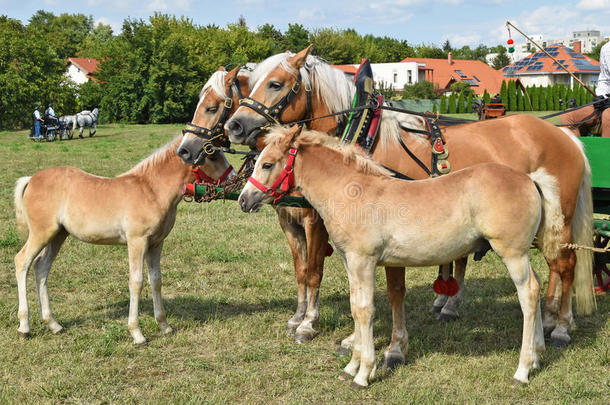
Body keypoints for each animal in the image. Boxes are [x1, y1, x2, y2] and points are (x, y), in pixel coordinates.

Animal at [14, 134, 233, 342]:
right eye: (213, 155)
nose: (233, 179)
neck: (151, 189)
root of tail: (31, 179)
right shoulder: (137, 241)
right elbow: (136, 282)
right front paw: (137, 333)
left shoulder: (156, 243)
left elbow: (156, 280)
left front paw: (164, 325)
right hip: (42, 233)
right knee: (22, 261)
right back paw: (24, 327)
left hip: (58, 235)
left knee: (41, 267)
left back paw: (53, 324)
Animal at [222, 45, 588, 354]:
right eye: (251, 84)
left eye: (276, 83)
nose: (235, 126)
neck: (368, 137)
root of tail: (565, 134)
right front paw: (350, 337)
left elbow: (376, 287)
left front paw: (377, 343)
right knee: (554, 266)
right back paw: (549, 317)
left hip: (561, 219)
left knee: (566, 264)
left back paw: (561, 326)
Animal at [239, 125, 560, 386]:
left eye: (267, 164)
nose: (244, 200)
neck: (353, 191)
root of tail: (529, 179)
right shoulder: (350, 262)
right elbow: (356, 308)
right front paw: (351, 366)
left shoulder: (363, 261)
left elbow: (365, 311)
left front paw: (363, 374)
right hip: (522, 253)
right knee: (536, 287)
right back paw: (538, 357)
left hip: (512, 253)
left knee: (529, 294)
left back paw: (522, 370)